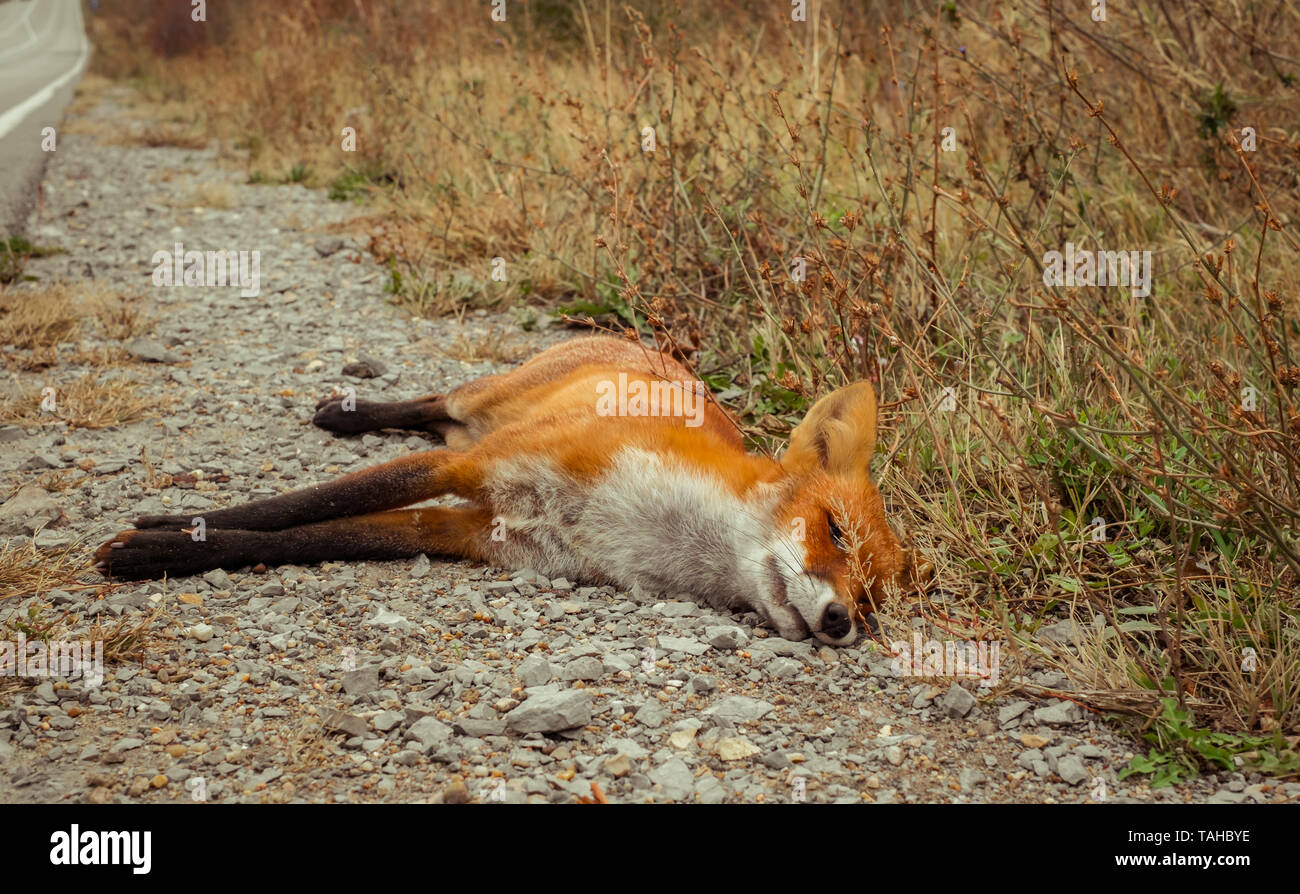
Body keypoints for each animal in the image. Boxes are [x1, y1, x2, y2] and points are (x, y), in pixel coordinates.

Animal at [94, 335, 904, 641]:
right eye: (834, 529)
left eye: (870, 600)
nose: (841, 622)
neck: (647, 522)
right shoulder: (476, 472)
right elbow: (301, 505)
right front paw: (160, 535)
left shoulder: (470, 532)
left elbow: (323, 534)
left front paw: (164, 545)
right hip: (483, 411)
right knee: (434, 402)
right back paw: (349, 414)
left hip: (472, 435)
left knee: (436, 418)